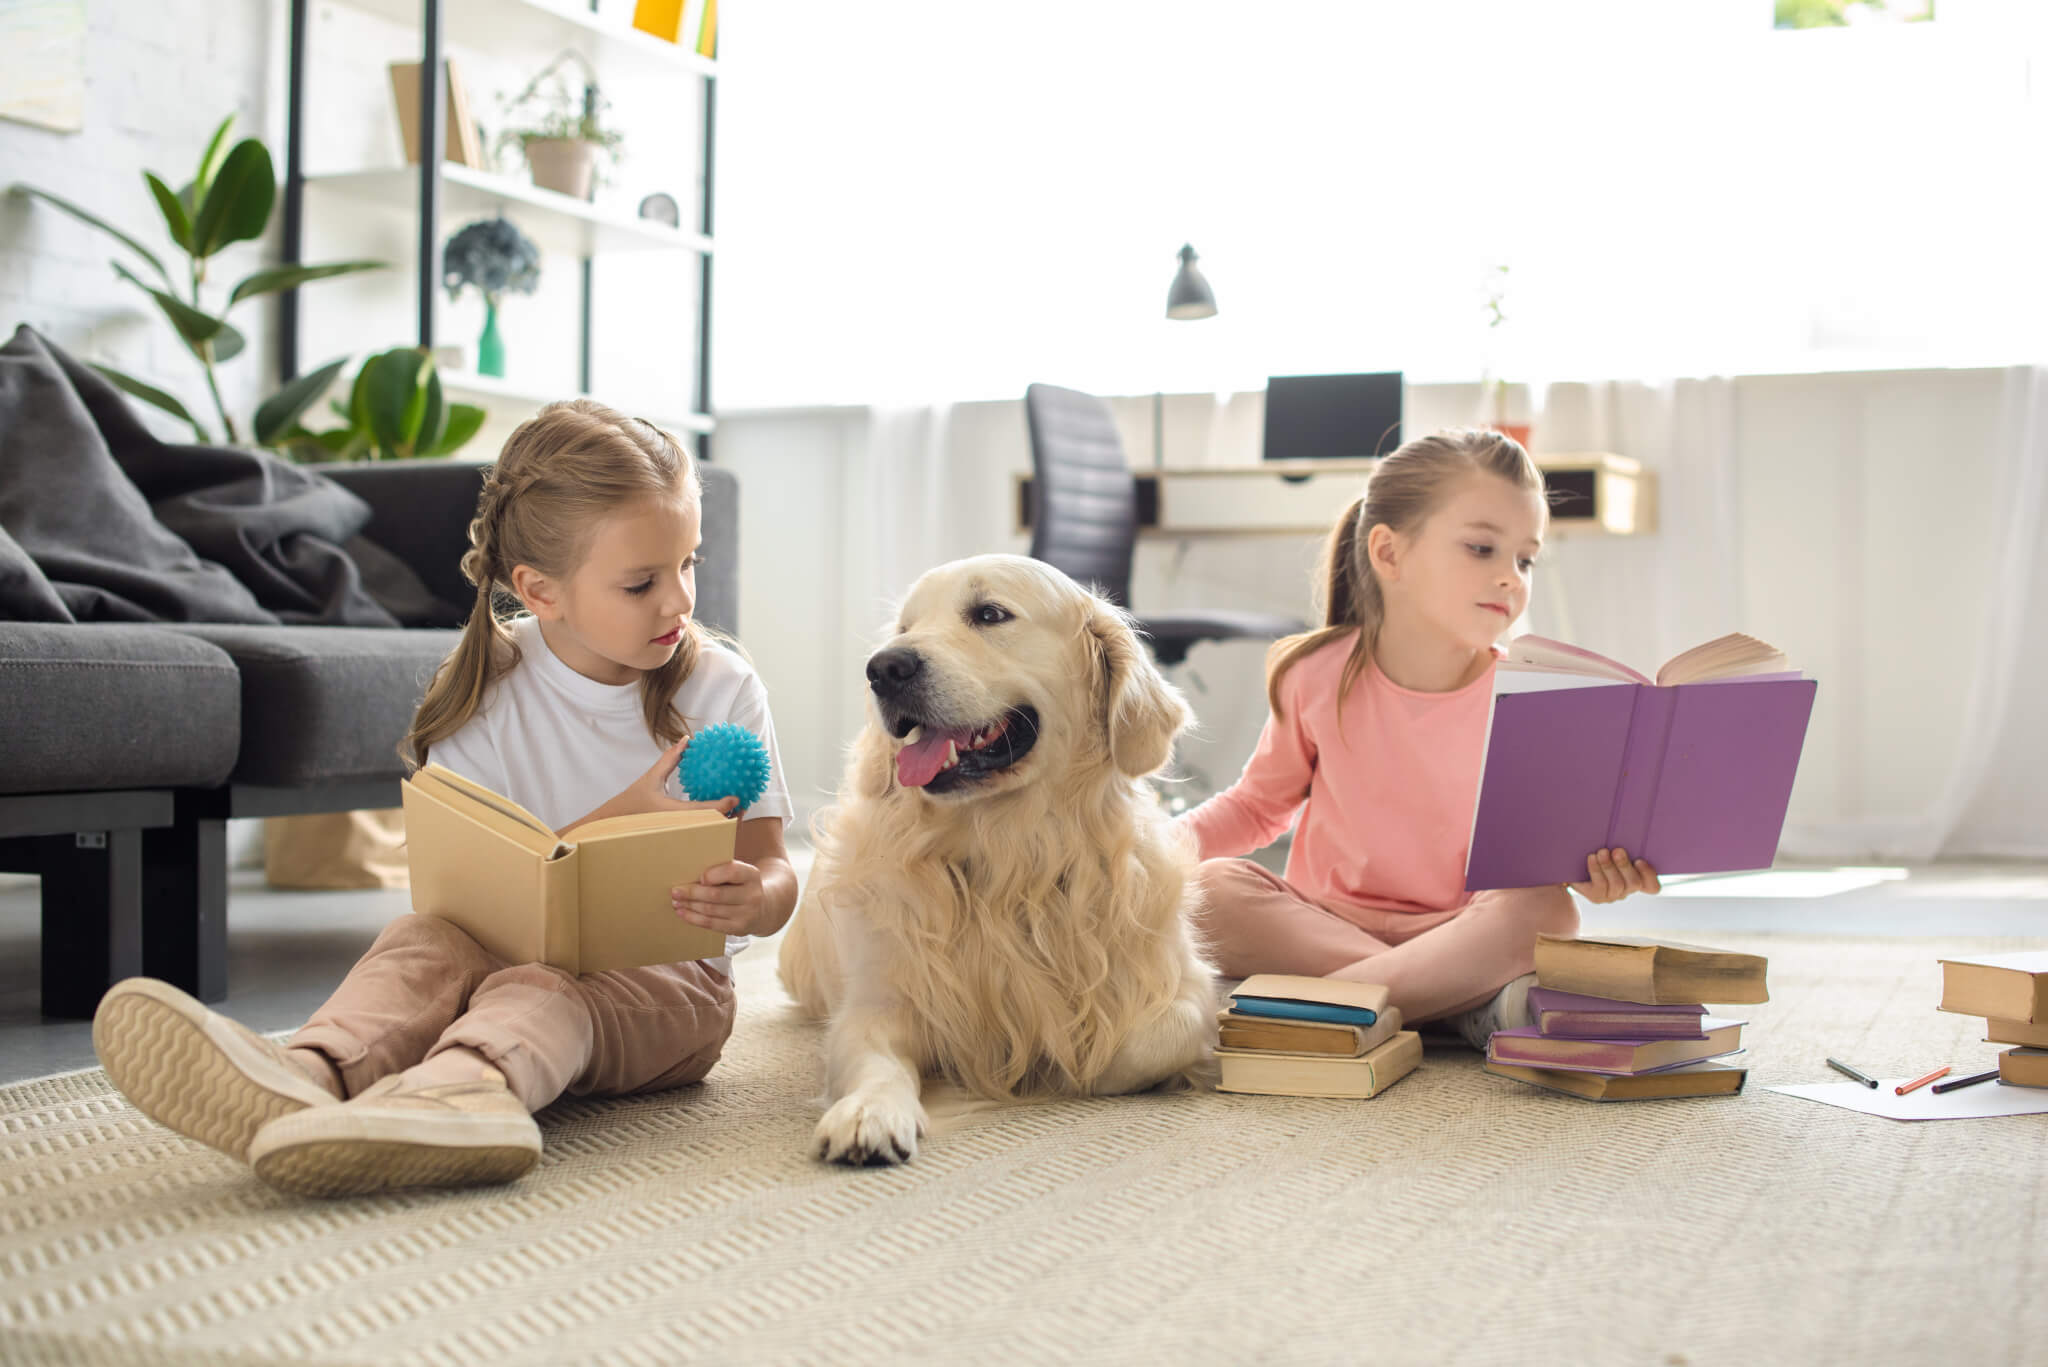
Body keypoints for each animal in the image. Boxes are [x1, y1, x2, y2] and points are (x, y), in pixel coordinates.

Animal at [774, 557, 1204, 1164]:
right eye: (904, 627)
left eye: (990, 614)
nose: (883, 668)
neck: (1008, 851)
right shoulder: (875, 1004)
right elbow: (877, 1062)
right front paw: (870, 1114)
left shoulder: (1189, 987)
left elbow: (1147, 1041)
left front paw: (1064, 1063)